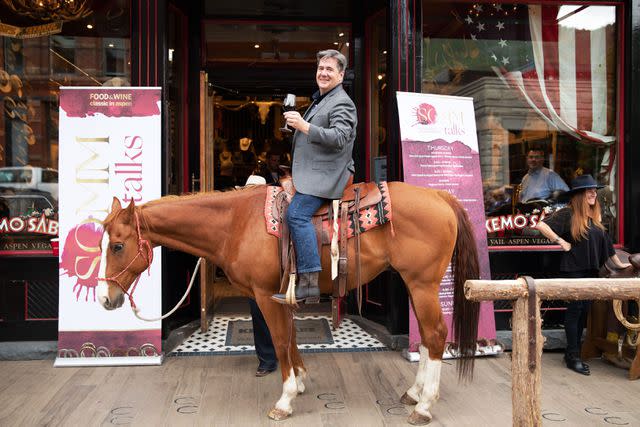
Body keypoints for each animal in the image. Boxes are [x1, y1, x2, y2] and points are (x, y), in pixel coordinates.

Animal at [96, 182, 480, 426]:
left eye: (117, 246)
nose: (104, 298)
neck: (236, 222)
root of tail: (439, 195)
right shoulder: (282, 296)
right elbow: (292, 339)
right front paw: (300, 379)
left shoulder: (266, 295)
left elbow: (280, 340)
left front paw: (285, 398)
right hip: (414, 284)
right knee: (427, 336)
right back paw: (414, 393)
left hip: (423, 283)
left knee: (435, 334)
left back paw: (425, 405)